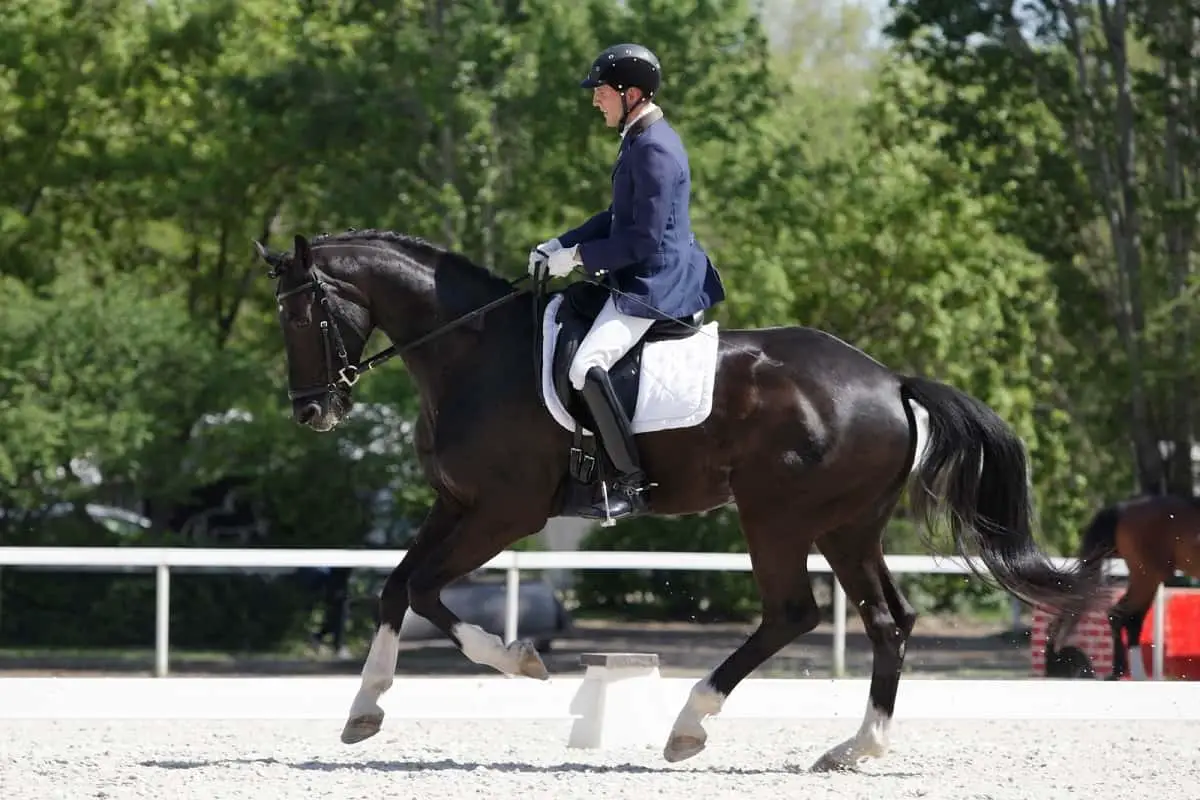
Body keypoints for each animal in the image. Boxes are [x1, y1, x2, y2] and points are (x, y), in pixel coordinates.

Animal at [258, 230, 1099, 767]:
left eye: (303, 314)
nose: (313, 412)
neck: (474, 353)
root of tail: (890, 380)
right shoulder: (456, 505)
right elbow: (398, 586)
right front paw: (364, 710)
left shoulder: (505, 512)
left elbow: (429, 590)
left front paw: (520, 660)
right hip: (848, 527)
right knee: (887, 620)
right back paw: (856, 748)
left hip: (777, 516)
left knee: (793, 613)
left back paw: (690, 724)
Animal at [1046, 494, 1200, 681]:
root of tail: (1123, 508)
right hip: (1148, 576)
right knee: (1126, 616)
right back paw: (1130, 674)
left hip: (1146, 578)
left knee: (1126, 617)